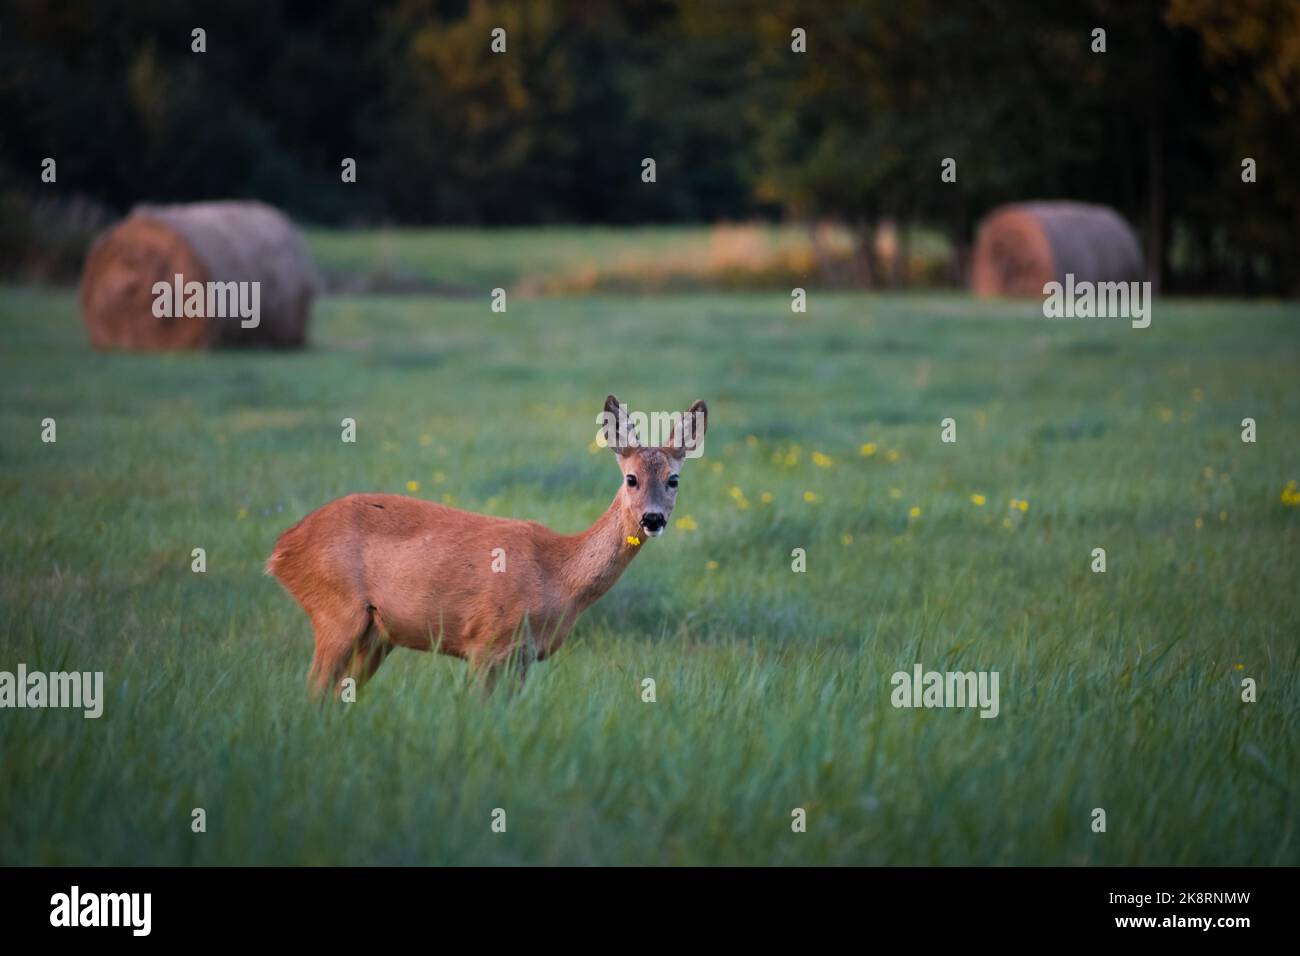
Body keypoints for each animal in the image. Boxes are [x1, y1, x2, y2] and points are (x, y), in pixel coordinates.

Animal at [266, 392, 712, 697]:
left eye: (673, 479)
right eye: (631, 478)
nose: (652, 519)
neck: (560, 577)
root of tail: (281, 549)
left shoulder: (524, 656)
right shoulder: (485, 641)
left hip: (377, 633)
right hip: (335, 608)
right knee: (315, 688)